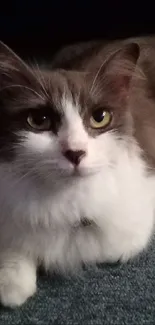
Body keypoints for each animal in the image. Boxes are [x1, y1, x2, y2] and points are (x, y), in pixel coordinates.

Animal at [0, 37, 155, 306]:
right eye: (39, 120)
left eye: (100, 117)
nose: (75, 153)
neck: (64, 195)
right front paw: (12, 280)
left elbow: (107, 248)